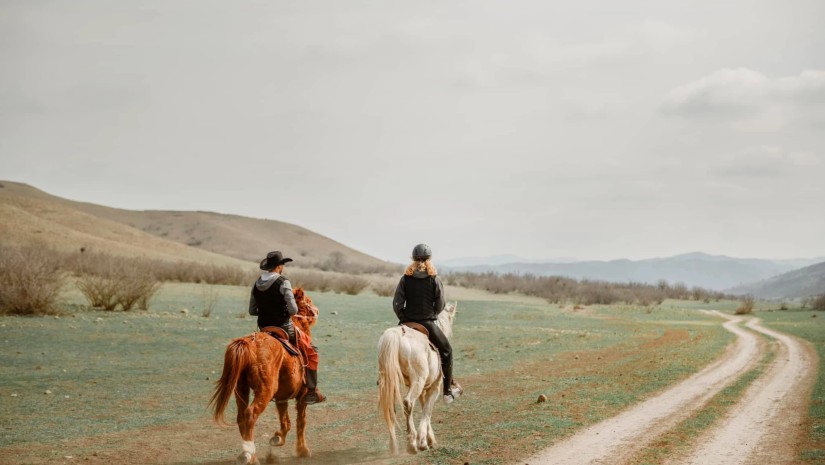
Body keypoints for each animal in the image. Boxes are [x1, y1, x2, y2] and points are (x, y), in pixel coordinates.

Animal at [209, 284, 318, 462]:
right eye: (307, 301)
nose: (316, 311)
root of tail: (249, 343)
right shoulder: (301, 396)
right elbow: (300, 422)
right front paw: (303, 450)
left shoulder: (282, 397)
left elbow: (285, 421)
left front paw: (277, 438)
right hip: (265, 390)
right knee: (250, 414)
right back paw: (251, 457)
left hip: (241, 389)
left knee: (241, 417)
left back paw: (247, 453)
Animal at [374, 300, 458, 454]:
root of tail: (397, 334)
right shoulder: (434, 388)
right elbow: (427, 411)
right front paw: (424, 442)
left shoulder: (423, 389)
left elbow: (425, 408)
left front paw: (430, 440)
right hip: (418, 381)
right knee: (407, 403)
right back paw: (412, 444)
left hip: (391, 382)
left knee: (391, 408)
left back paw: (394, 446)